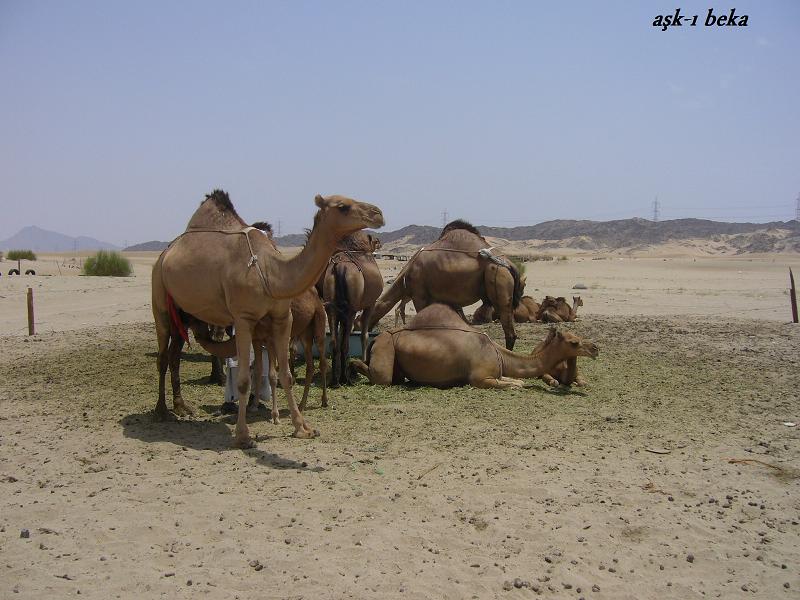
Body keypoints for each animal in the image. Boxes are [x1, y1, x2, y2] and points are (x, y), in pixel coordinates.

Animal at [318, 232, 384, 386]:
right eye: (375, 241)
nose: (380, 242)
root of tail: (340, 267)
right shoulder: (370, 304)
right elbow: (364, 335)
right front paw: (364, 361)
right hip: (351, 310)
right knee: (345, 343)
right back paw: (344, 378)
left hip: (331, 307)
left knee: (334, 342)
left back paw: (334, 380)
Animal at [346, 304, 596, 390]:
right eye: (574, 342)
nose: (595, 348)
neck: (498, 353)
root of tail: (378, 338)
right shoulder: (479, 378)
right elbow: (510, 385)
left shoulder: (497, 372)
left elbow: (514, 380)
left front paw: (519, 382)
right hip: (386, 345)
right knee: (382, 378)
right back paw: (352, 367)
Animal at [368, 220, 524, 350]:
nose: (367, 328)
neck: (406, 275)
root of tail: (509, 264)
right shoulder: (446, 300)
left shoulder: (419, 295)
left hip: (498, 278)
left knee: (510, 332)